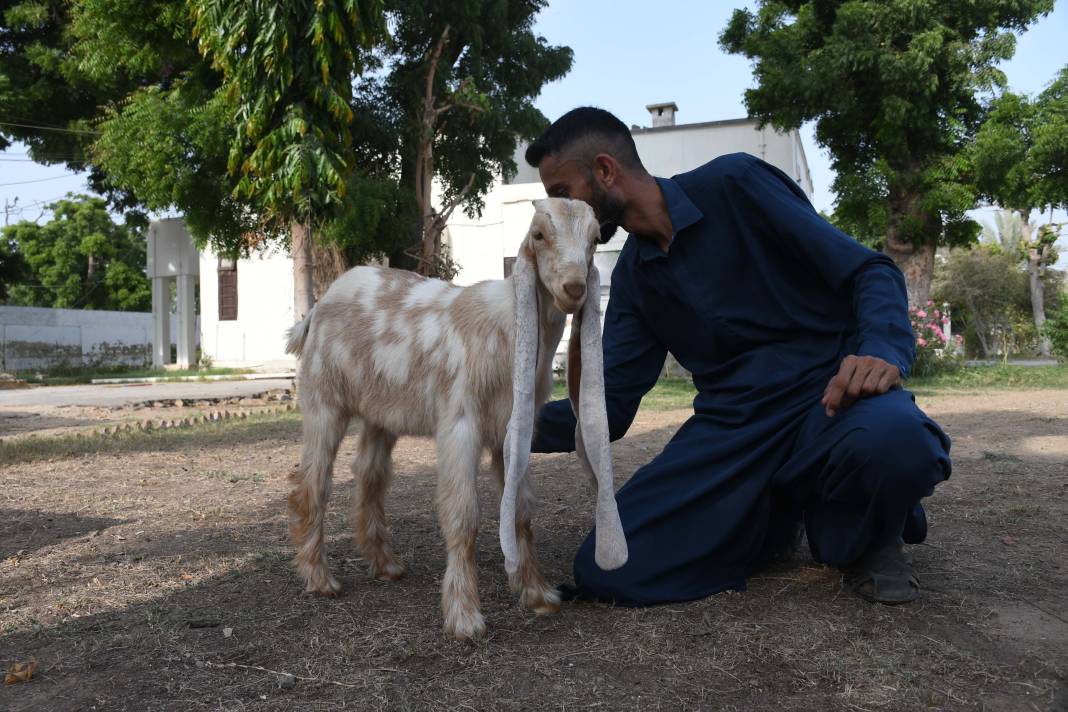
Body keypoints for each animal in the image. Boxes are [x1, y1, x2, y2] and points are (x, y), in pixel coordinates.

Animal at [286, 196, 623, 640]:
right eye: (538, 234)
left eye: (595, 238)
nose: (574, 289)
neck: (504, 329)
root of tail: (317, 310)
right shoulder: (460, 421)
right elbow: (463, 514)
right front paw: (464, 616)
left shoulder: (514, 428)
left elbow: (521, 509)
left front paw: (537, 593)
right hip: (324, 399)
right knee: (314, 483)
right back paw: (319, 578)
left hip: (381, 411)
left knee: (370, 476)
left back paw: (385, 564)